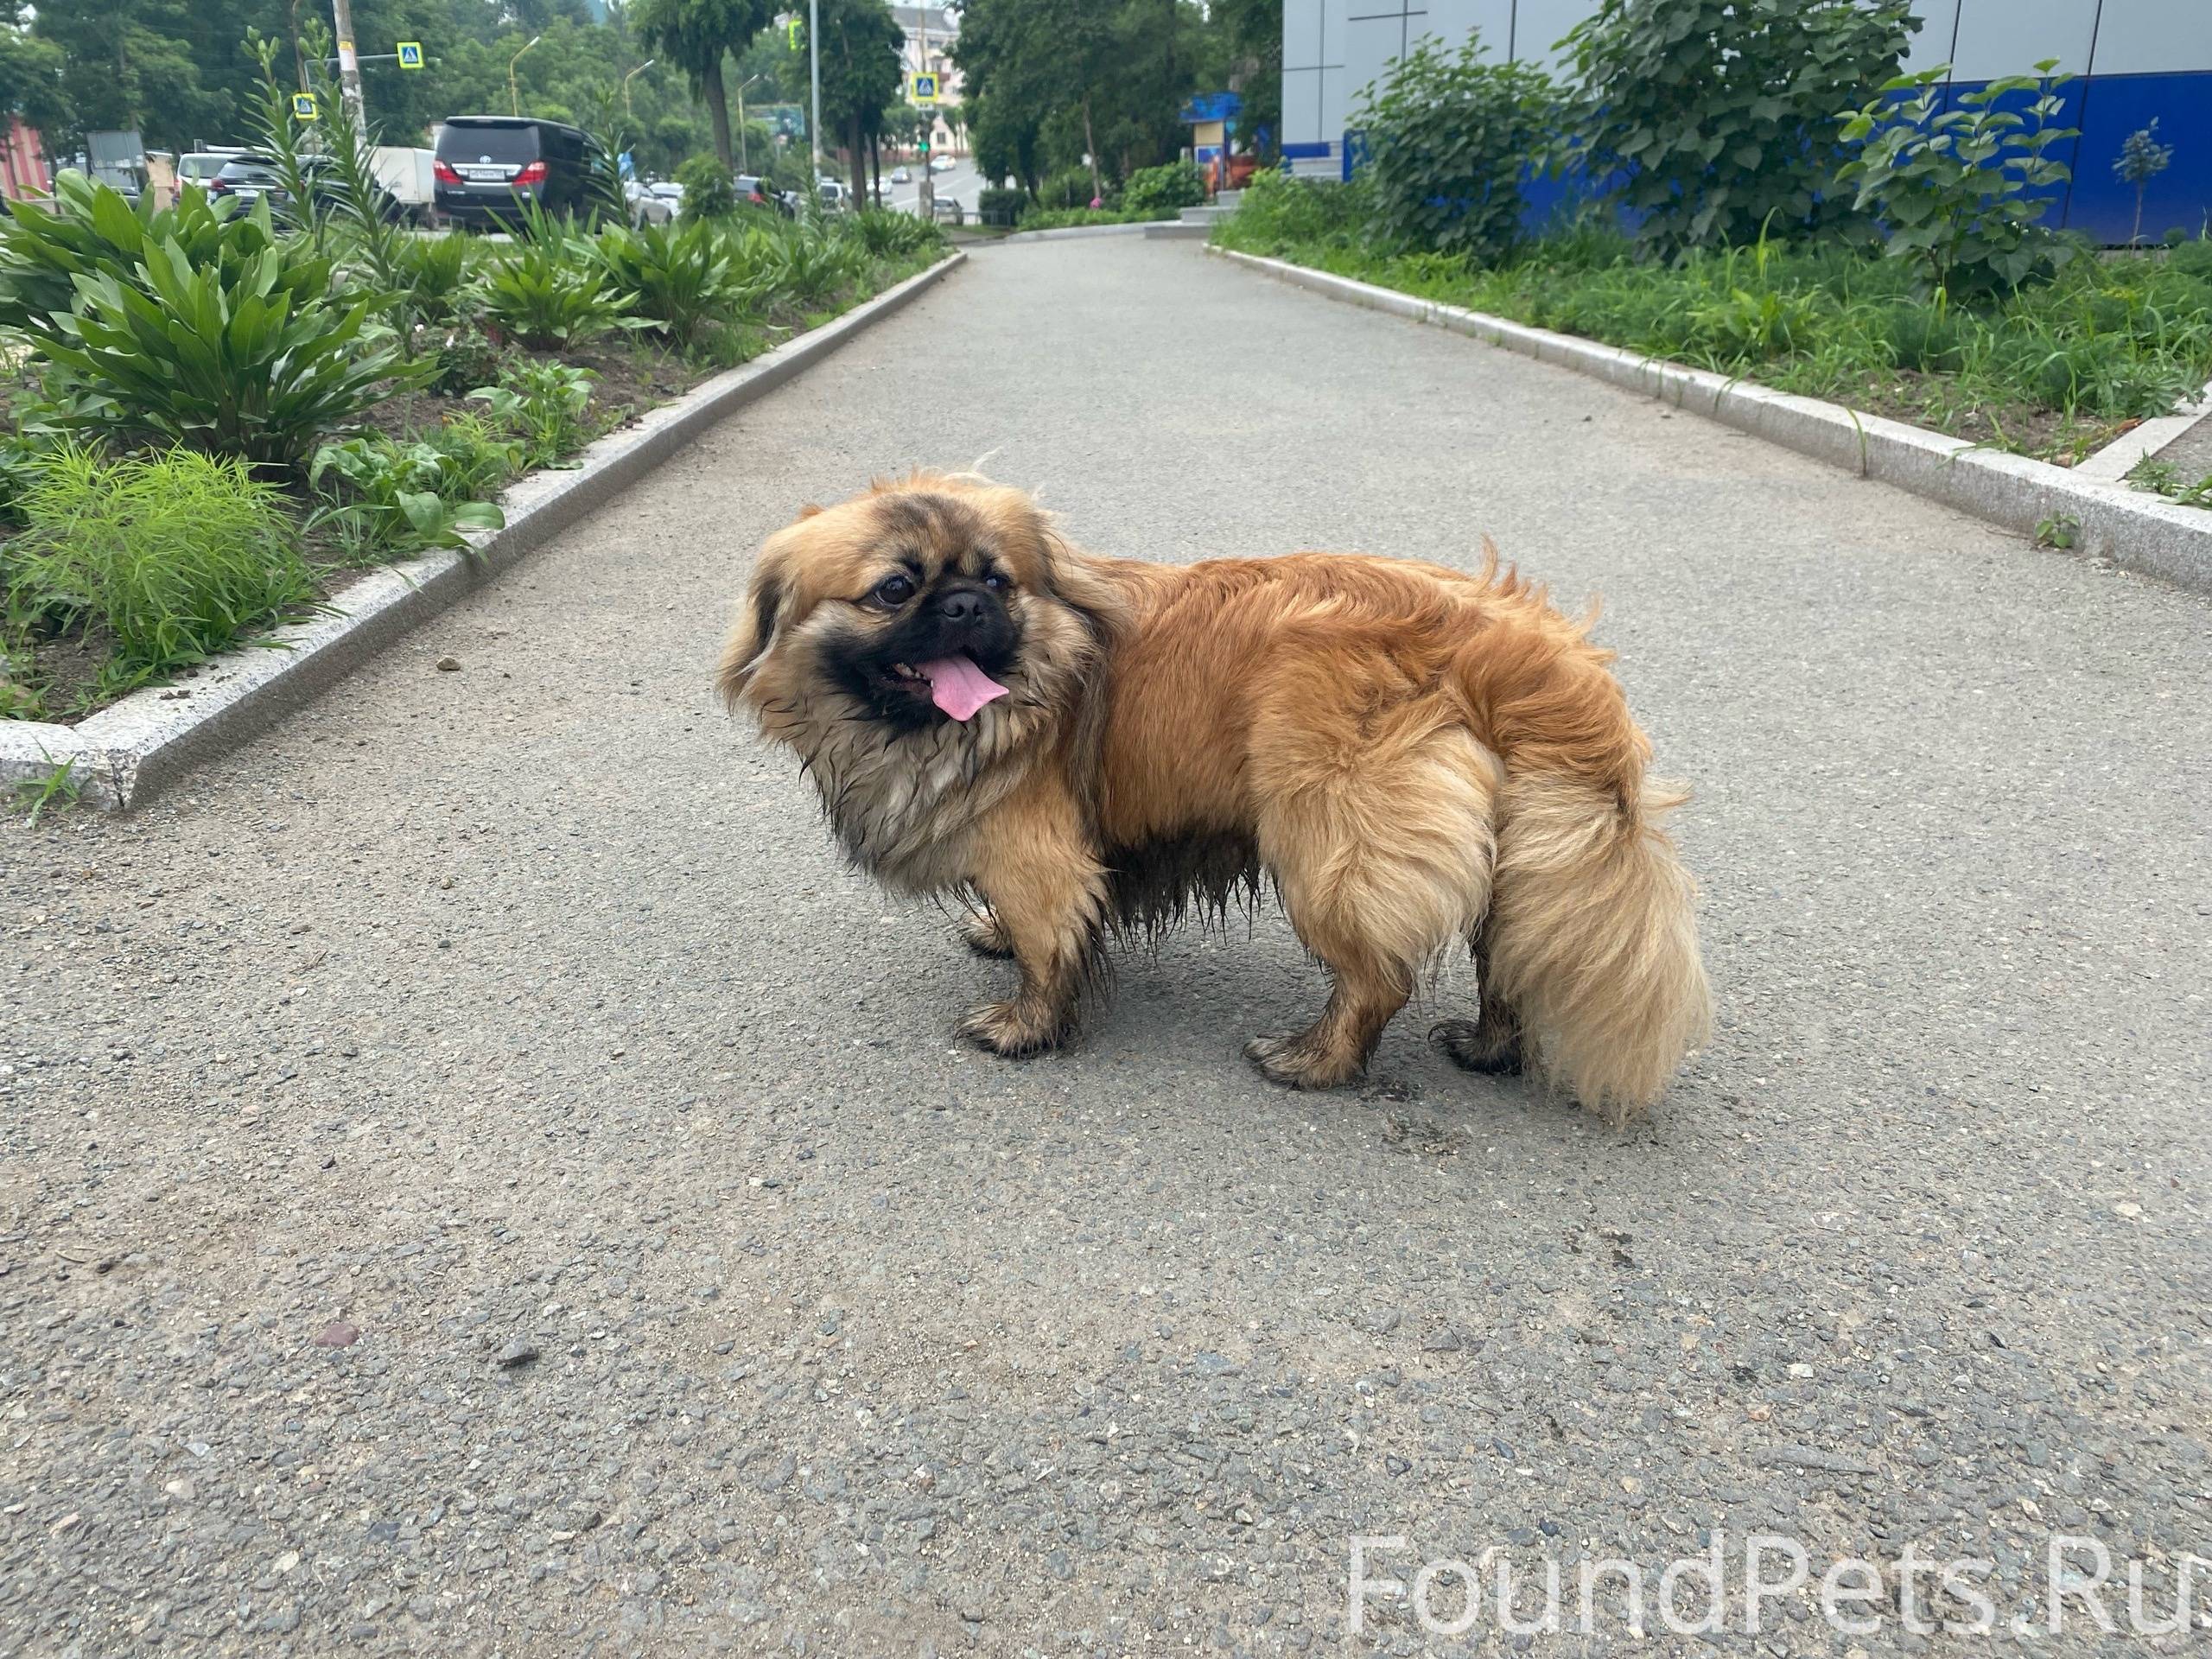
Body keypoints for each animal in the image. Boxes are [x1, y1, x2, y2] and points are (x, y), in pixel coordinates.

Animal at [725, 473, 1707, 1123]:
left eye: (996, 579)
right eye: (896, 589)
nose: (967, 605)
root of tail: (1517, 637)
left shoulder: (1038, 854)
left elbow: (1048, 947)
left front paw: (1022, 1028)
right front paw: (996, 938)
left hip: (1327, 850)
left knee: (1378, 978)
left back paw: (1310, 1061)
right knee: (1502, 956)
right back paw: (1487, 1047)